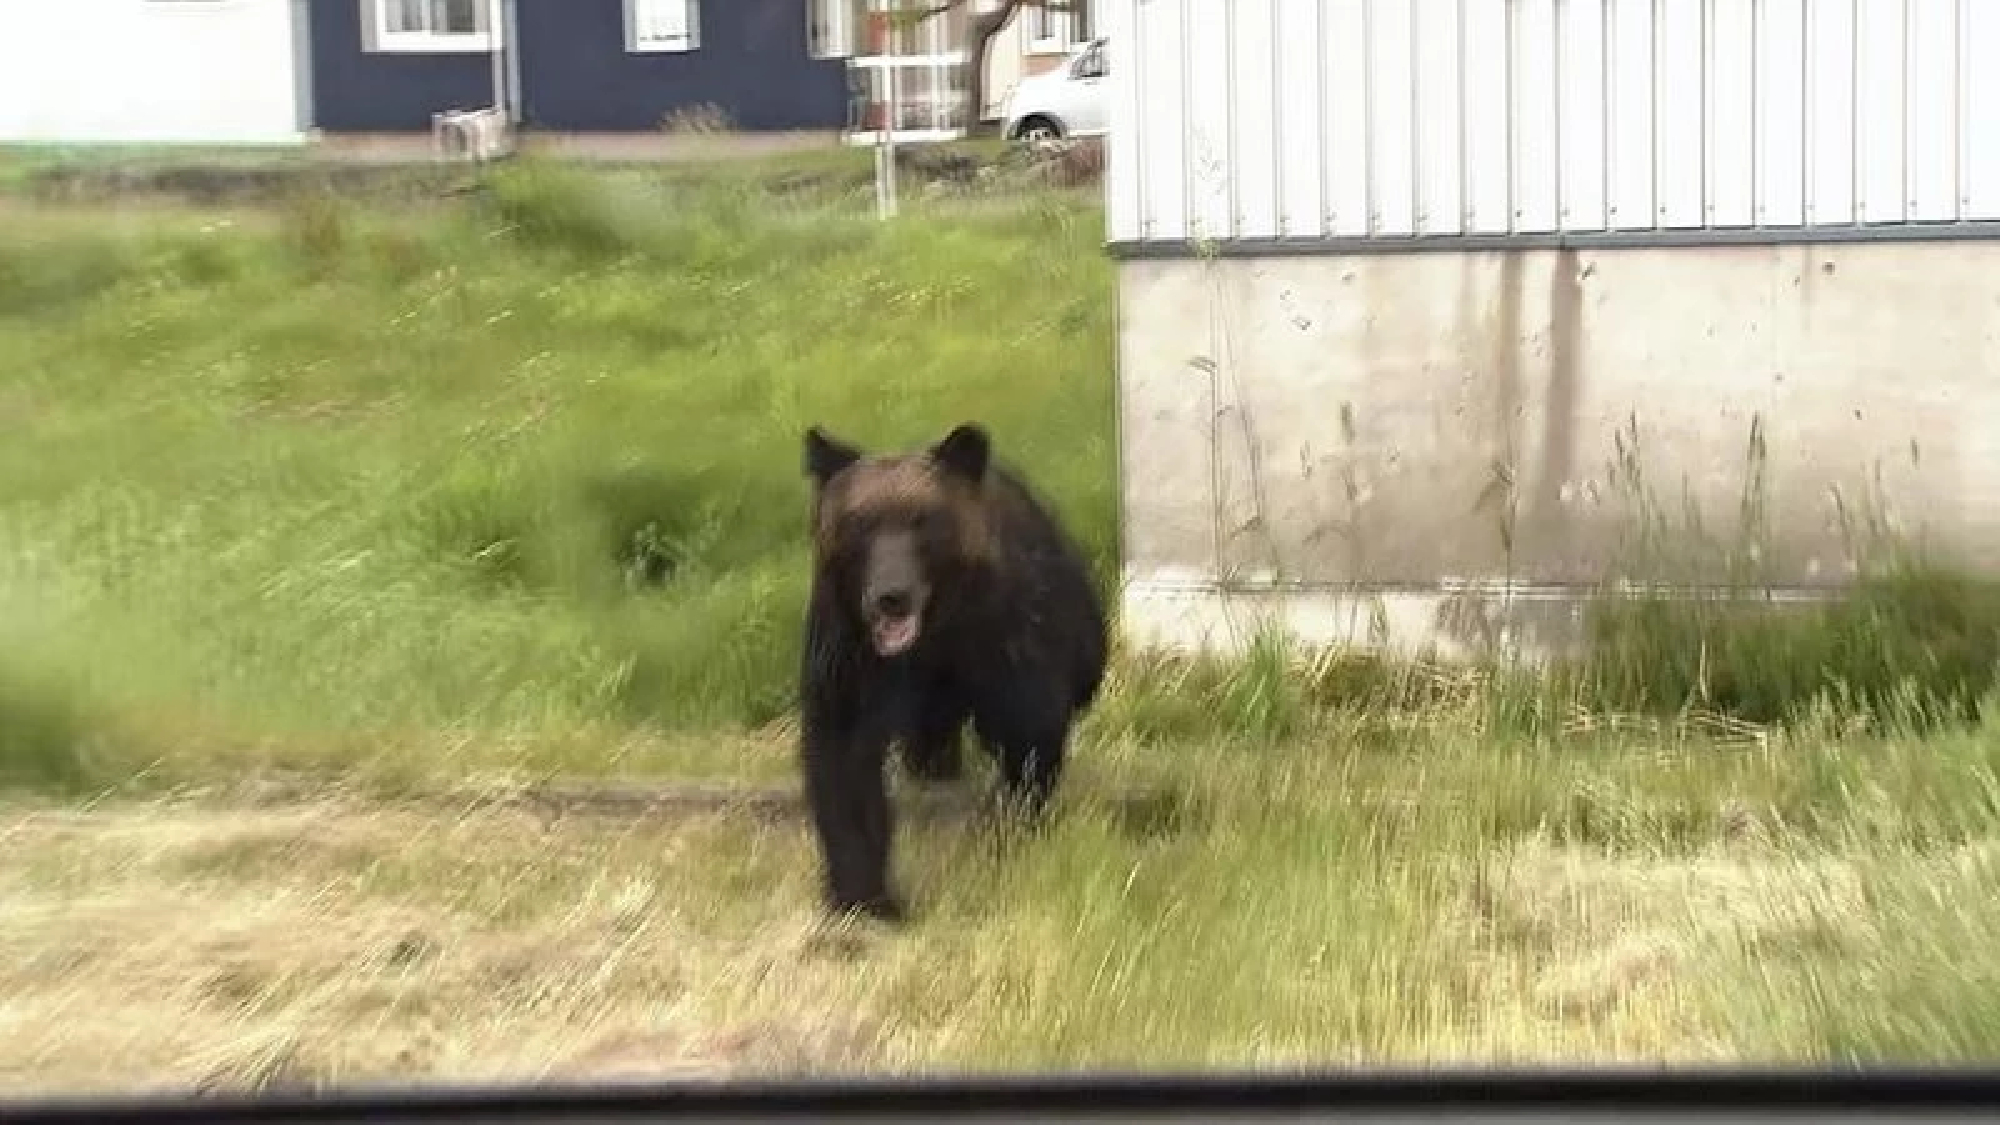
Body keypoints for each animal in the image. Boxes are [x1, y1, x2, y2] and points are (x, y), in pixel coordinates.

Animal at [796, 421, 1109, 922]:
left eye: (921, 519)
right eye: (860, 522)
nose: (891, 596)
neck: (933, 637)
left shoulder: (1004, 643)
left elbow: (1027, 739)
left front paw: (1007, 831)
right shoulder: (851, 653)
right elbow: (845, 761)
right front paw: (865, 895)